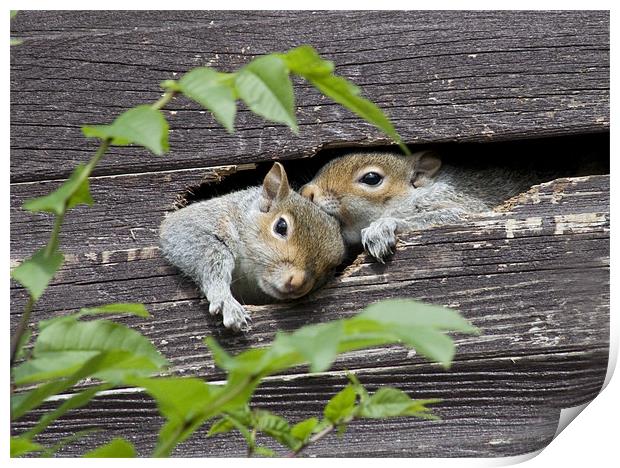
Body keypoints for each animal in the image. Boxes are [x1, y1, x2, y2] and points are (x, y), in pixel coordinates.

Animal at [160, 163, 344, 330]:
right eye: (281, 226)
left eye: (332, 267)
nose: (298, 283)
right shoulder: (204, 220)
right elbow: (206, 249)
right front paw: (225, 300)